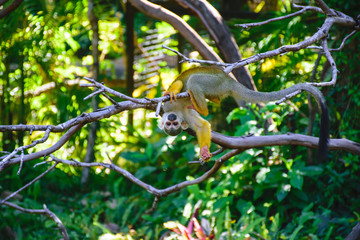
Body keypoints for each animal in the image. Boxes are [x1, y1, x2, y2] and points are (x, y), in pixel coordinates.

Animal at [160, 66, 330, 161]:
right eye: (169, 125)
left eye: (173, 123)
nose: (172, 121)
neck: (176, 111)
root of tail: (230, 82)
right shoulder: (183, 116)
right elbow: (202, 126)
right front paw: (204, 152)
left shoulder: (168, 108)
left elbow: (178, 84)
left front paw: (171, 92)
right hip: (218, 88)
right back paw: (211, 103)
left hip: (215, 82)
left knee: (193, 80)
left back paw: (200, 106)